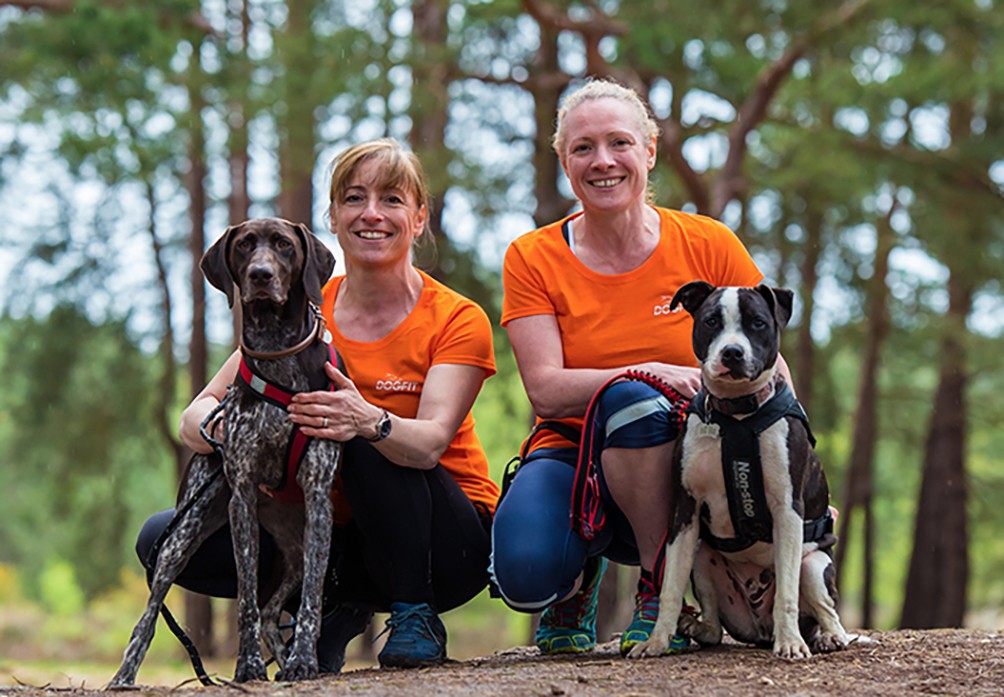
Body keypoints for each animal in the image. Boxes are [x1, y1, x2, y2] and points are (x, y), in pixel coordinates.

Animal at [630, 283, 851, 658]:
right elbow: (670, 587)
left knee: (826, 608)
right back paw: (696, 627)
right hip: (703, 557)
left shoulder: (788, 512)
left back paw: (827, 637)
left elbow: (787, 593)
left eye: (758, 322)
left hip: (814, 566)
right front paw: (656, 641)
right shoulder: (685, 512)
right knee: (714, 625)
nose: (732, 352)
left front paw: (791, 644)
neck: (737, 414)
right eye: (711, 321)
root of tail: (760, 629)